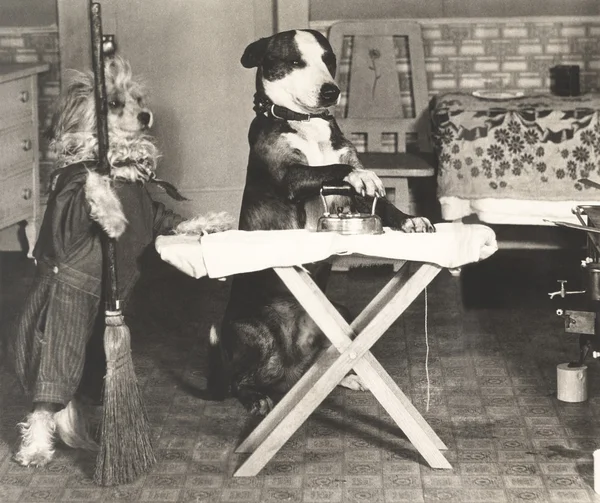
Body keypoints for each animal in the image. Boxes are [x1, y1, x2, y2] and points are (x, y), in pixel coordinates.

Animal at [209, 28, 434, 418]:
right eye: (294, 61)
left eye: (329, 59)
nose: (331, 91)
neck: (305, 122)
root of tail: (290, 365)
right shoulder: (292, 177)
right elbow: (339, 169)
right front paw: (365, 176)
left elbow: (378, 198)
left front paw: (409, 221)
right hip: (252, 335)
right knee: (238, 382)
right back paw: (255, 398)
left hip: (339, 315)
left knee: (323, 362)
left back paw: (348, 377)